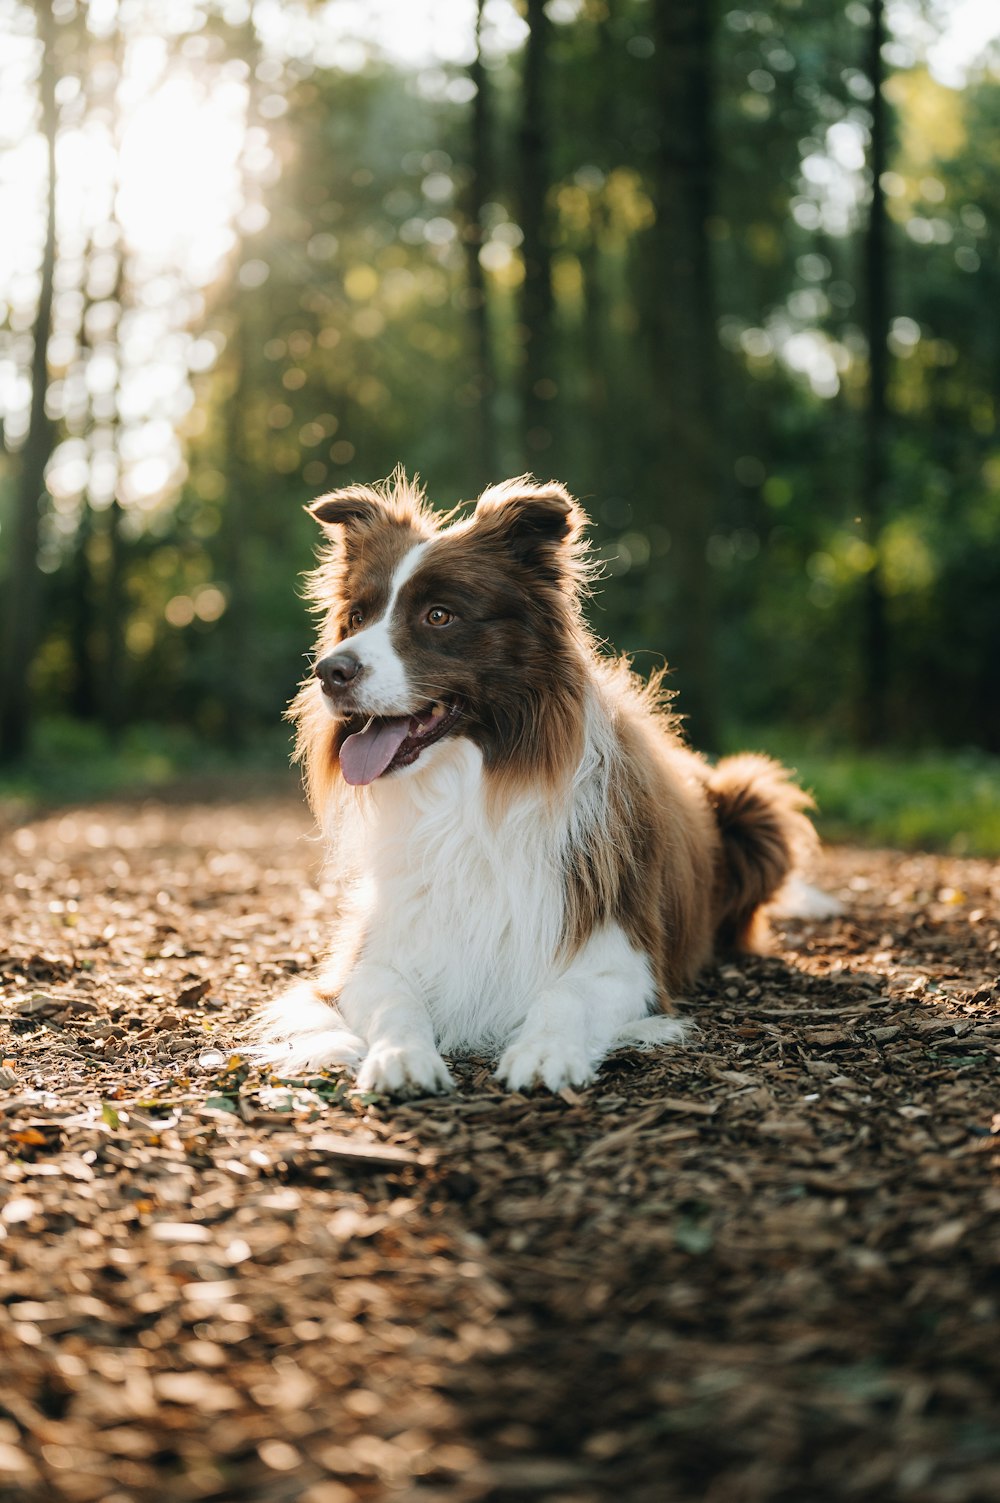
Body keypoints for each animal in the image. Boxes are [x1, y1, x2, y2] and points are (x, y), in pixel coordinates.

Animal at [254, 474, 818, 1100]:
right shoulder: (369, 958)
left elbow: (564, 995)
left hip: (752, 802)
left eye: (439, 616)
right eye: (356, 616)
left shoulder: (625, 957)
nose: (330, 672)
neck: (464, 800)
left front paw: (544, 1053)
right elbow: (394, 1001)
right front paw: (401, 1056)